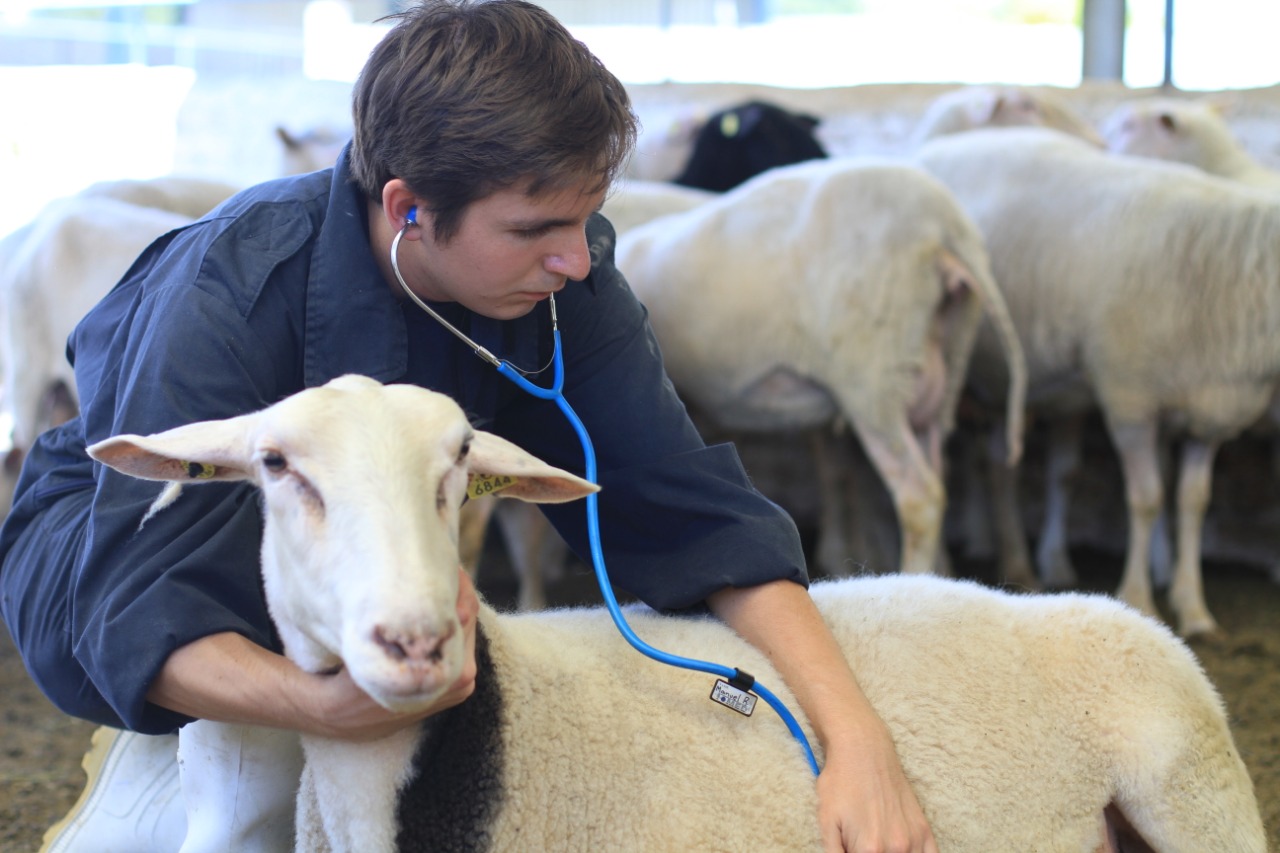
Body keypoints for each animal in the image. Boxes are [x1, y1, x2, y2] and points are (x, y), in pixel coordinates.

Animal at [614, 158, 1024, 578]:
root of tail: (945, 226)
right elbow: (834, 472)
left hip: (872, 376)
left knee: (919, 495)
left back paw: (911, 577)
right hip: (939, 373)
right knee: (937, 473)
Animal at [921, 124, 1280, 630]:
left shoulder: (1209, 414)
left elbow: (1193, 503)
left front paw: (1193, 608)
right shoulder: (1130, 399)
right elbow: (1147, 499)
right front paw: (1140, 598)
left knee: (1001, 469)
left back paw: (1021, 565)